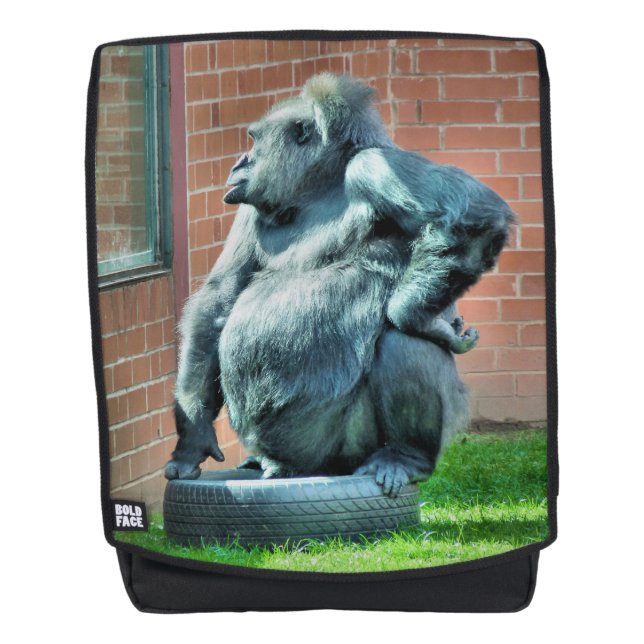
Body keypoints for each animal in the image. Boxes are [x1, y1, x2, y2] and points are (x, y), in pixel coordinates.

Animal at [164, 73, 514, 497]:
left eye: (253, 140)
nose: (239, 163)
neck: (319, 186)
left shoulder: (376, 167)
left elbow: (474, 217)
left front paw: (419, 317)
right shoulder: (251, 206)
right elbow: (220, 298)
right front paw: (192, 435)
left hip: (344, 451)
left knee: (402, 342)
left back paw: (406, 457)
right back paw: (259, 461)